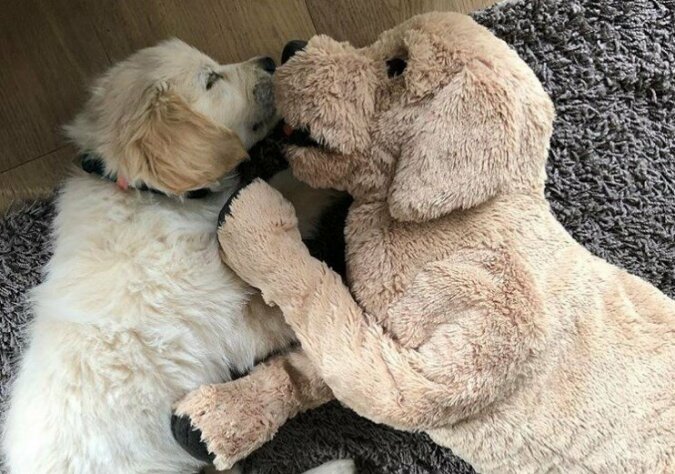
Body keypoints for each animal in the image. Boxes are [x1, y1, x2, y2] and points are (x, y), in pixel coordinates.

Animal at [2, 39, 350, 474]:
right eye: (211, 80)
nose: (270, 61)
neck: (140, 192)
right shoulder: (229, 320)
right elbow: (288, 313)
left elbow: (288, 191)